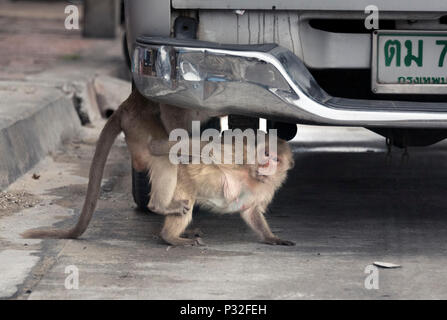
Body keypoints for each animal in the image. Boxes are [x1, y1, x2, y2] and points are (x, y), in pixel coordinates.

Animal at [148, 134, 294, 246]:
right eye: (266, 154)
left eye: (276, 159)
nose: (266, 164)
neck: (254, 177)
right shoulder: (242, 155)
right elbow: (204, 148)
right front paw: (154, 146)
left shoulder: (268, 189)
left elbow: (251, 211)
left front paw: (271, 238)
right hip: (183, 179)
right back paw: (168, 232)